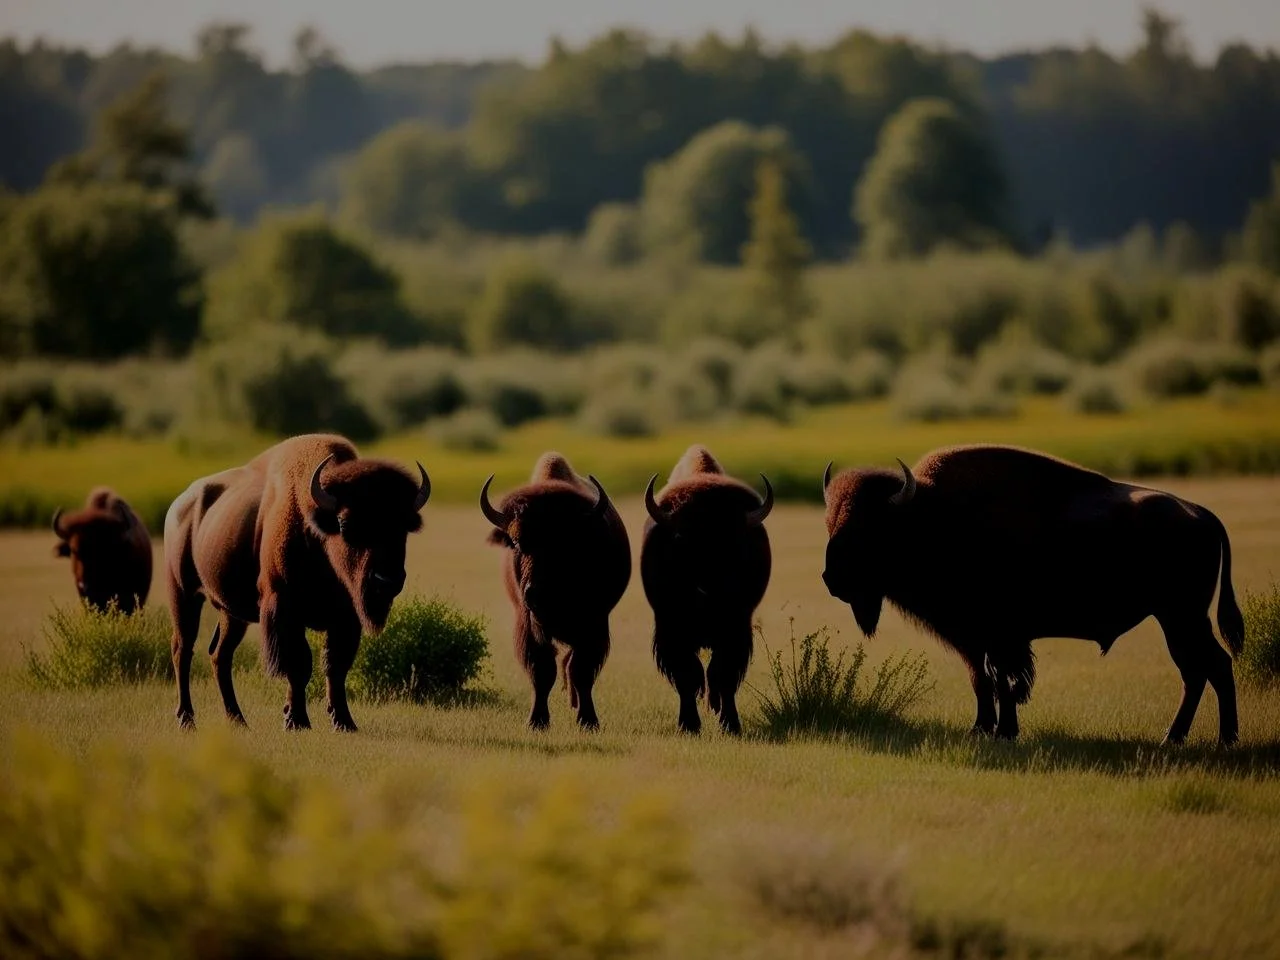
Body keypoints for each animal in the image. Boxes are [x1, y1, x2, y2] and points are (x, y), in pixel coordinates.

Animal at [164, 434, 430, 731]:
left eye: (404, 526)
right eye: (344, 523)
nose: (387, 580)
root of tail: (179, 505)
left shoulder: (346, 618)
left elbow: (335, 666)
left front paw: (344, 721)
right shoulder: (285, 609)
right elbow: (299, 664)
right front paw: (296, 720)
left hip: (231, 614)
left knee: (220, 654)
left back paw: (237, 719)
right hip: (183, 594)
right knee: (182, 649)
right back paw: (187, 719)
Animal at [480, 453, 630, 730]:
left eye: (565, 544)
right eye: (516, 542)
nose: (537, 593)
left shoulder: (593, 625)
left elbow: (581, 670)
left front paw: (588, 721)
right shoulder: (529, 626)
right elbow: (543, 671)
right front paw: (537, 721)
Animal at [641, 445, 773, 735]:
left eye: (736, 540)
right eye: (680, 538)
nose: (709, 591)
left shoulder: (735, 630)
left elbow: (723, 675)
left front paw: (731, 724)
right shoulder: (672, 630)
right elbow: (688, 675)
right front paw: (689, 725)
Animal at [821, 444, 1245, 744]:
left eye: (870, 526)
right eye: (830, 521)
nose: (831, 578)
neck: (933, 517)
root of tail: (1201, 513)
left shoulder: (1002, 637)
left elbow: (1004, 680)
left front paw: (1005, 731)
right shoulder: (972, 637)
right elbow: (981, 679)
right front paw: (982, 728)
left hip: (1182, 618)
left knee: (1213, 668)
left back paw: (1217, 740)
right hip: (1177, 621)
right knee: (1197, 673)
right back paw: (1177, 739)